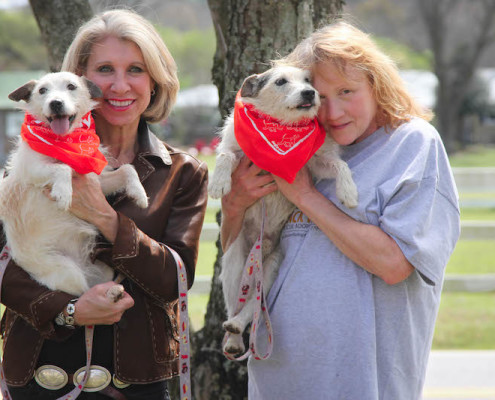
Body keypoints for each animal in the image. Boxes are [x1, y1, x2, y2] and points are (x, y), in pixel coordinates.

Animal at [0, 72, 148, 296]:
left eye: (71, 86)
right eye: (42, 90)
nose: (56, 103)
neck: (66, 141)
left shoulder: (97, 181)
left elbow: (127, 169)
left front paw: (140, 194)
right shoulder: (32, 169)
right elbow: (63, 168)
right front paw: (63, 193)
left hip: (102, 269)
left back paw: (113, 292)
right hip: (68, 272)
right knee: (83, 297)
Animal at [209, 65, 360, 356]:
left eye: (308, 80)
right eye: (280, 82)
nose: (310, 93)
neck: (281, 129)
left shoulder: (316, 165)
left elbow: (339, 165)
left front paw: (348, 192)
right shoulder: (237, 152)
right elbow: (225, 155)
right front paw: (218, 182)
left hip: (272, 268)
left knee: (253, 305)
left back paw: (238, 325)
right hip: (235, 265)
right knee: (236, 302)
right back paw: (233, 339)